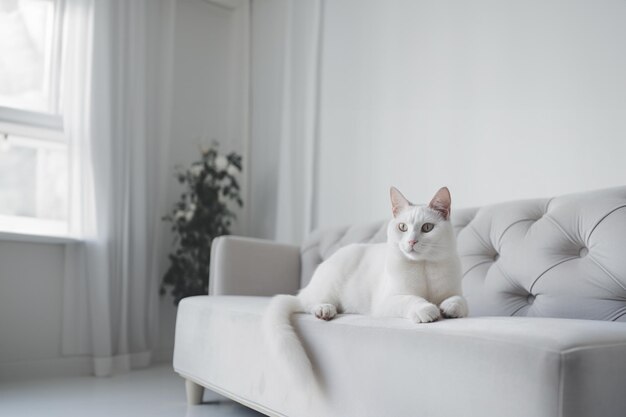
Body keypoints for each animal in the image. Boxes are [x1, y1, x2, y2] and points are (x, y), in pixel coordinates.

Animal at [260, 186, 466, 386]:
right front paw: (427, 309)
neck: (423, 266)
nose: (411, 241)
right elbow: (411, 299)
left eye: (427, 227)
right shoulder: (385, 302)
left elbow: (460, 301)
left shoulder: (457, 292)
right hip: (329, 283)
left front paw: (449, 308)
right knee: (309, 303)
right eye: (402, 227)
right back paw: (324, 310)